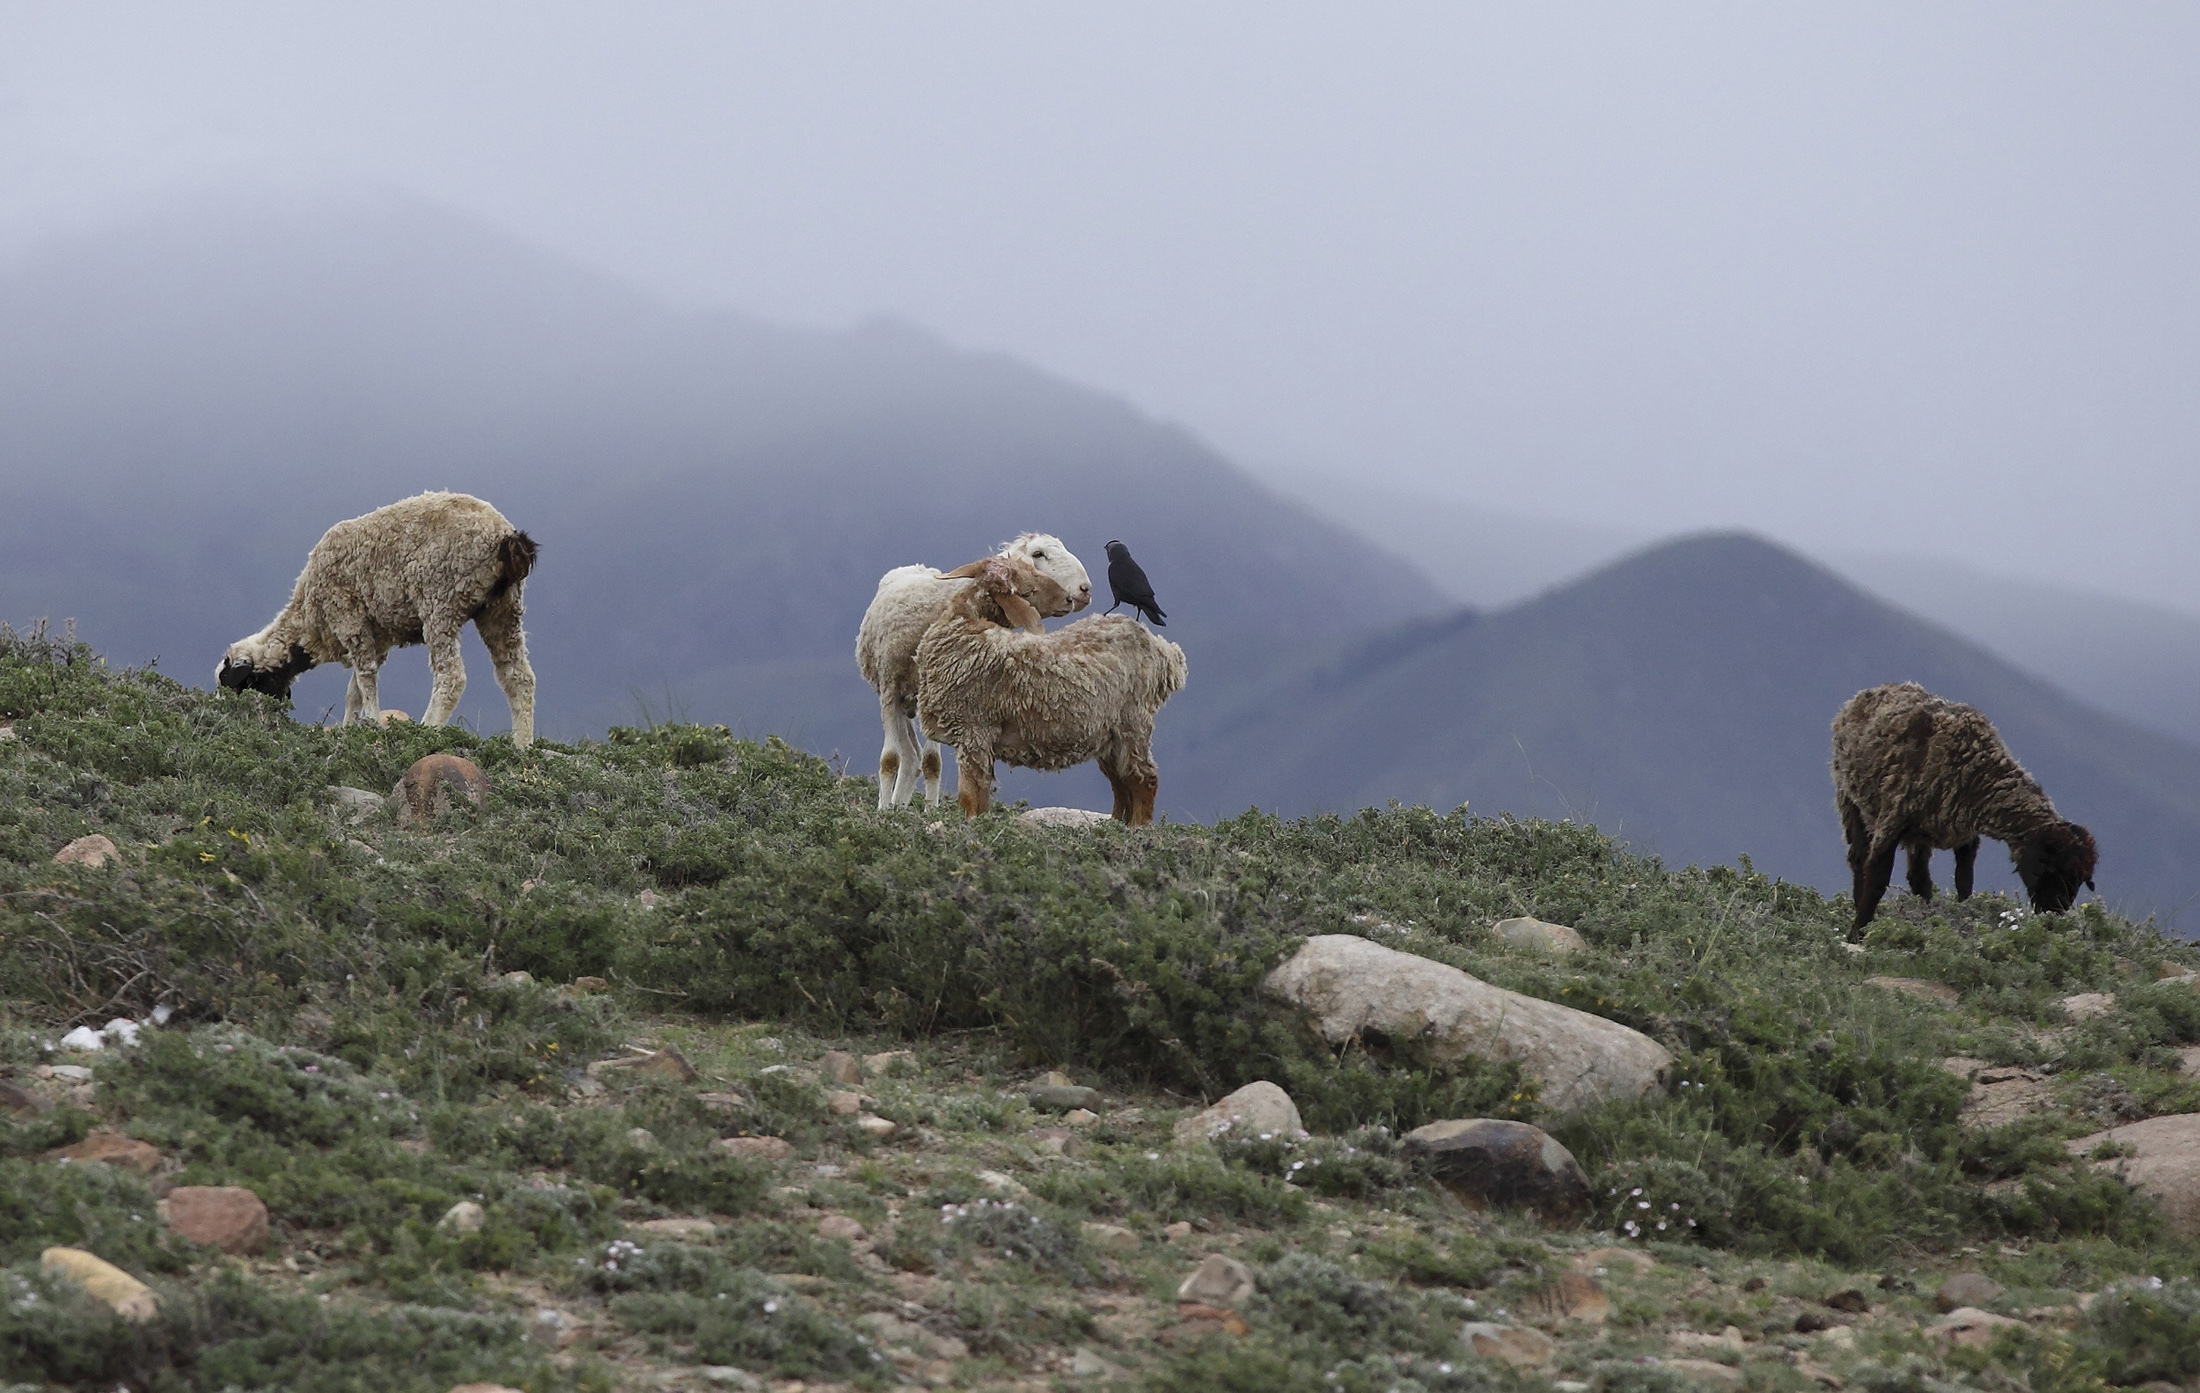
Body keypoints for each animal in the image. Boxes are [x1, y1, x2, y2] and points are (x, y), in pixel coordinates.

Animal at [215, 490, 541, 748]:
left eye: (237, 684)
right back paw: (522, 746)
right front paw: (349, 727)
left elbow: (366, 679)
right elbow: (354, 690)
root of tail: (505, 537)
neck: (308, 621)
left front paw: (370, 723)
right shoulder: (378, 637)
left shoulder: (348, 618)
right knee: (518, 677)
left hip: (440, 602)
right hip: (503, 609)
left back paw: (427, 729)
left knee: (451, 677)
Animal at [862, 534, 1095, 814]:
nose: (1084, 590)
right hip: (896, 696)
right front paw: (883, 813)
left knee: (913, 756)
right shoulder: (890, 687)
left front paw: (930, 812)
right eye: (1038, 554)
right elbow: (889, 759)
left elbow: (931, 762)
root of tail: (915, 567)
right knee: (905, 755)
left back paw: (899, 806)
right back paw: (891, 808)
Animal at [910, 547, 1188, 818]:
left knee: (1144, 780)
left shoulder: (973, 731)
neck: (963, 625)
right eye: (1027, 591)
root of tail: (1164, 650)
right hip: (1109, 737)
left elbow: (969, 798)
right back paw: (1116, 826)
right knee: (1122, 785)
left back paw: (1138, 828)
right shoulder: (980, 739)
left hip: (1133, 723)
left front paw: (971, 827)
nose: (1068, 599)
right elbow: (982, 797)